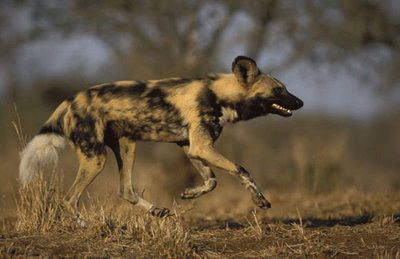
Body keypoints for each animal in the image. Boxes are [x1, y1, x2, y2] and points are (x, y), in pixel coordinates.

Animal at [18, 56, 304, 217]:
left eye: (286, 88)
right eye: (279, 91)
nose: (301, 102)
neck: (218, 94)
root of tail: (68, 101)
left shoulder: (191, 146)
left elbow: (212, 181)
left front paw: (190, 194)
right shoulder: (201, 146)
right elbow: (242, 169)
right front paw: (260, 200)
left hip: (127, 146)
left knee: (126, 190)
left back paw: (156, 211)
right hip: (96, 158)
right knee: (69, 200)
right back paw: (85, 226)